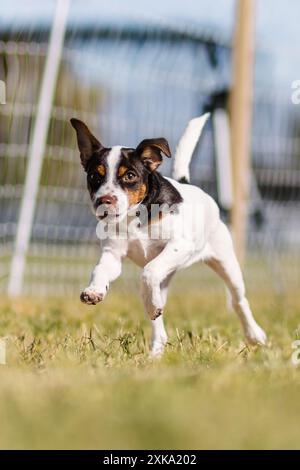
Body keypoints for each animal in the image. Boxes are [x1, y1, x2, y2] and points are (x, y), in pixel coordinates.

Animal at [71, 114, 268, 356]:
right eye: (93, 176)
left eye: (130, 175)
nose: (103, 201)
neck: (135, 215)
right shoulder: (113, 255)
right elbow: (100, 270)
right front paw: (94, 290)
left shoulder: (180, 245)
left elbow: (149, 270)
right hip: (167, 279)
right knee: (157, 318)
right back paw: (155, 349)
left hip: (227, 264)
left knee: (238, 301)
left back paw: (254, 335)